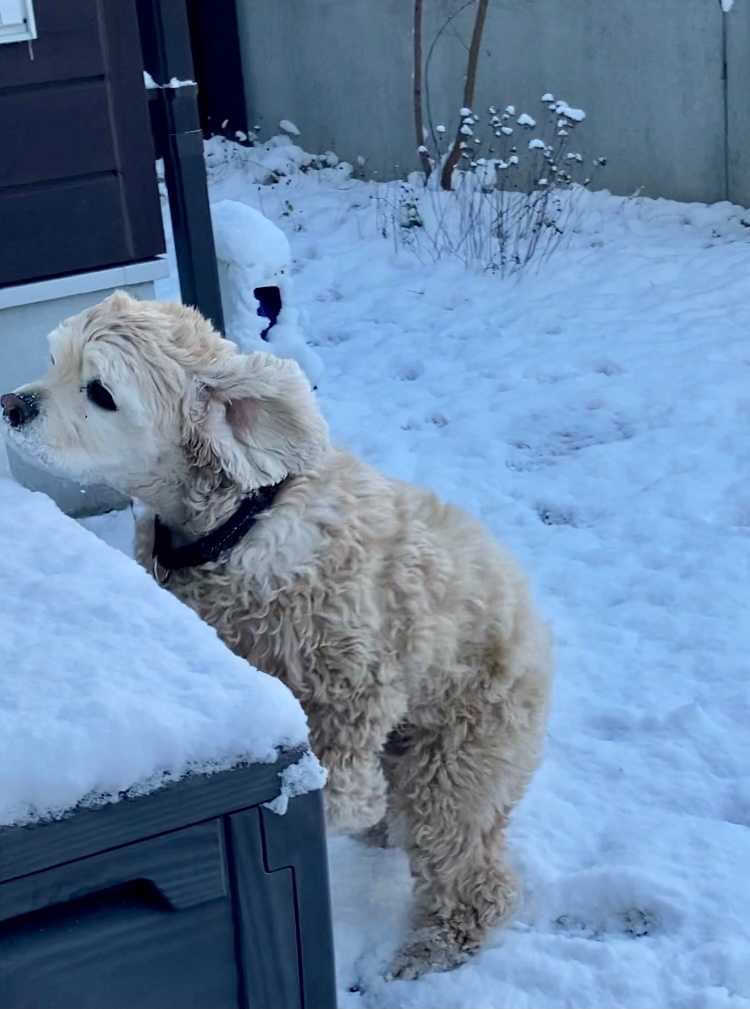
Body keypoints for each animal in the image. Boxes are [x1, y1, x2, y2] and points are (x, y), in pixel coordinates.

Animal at [0, 292, 553, 976]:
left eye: (100, 392)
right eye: (54, 360)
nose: (11, 405)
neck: (235, 524)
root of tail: (538, 632)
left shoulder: (350, 678)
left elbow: (345, 783)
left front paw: (325, 811)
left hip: (461, 751)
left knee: (465, 857)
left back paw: (435, 944)